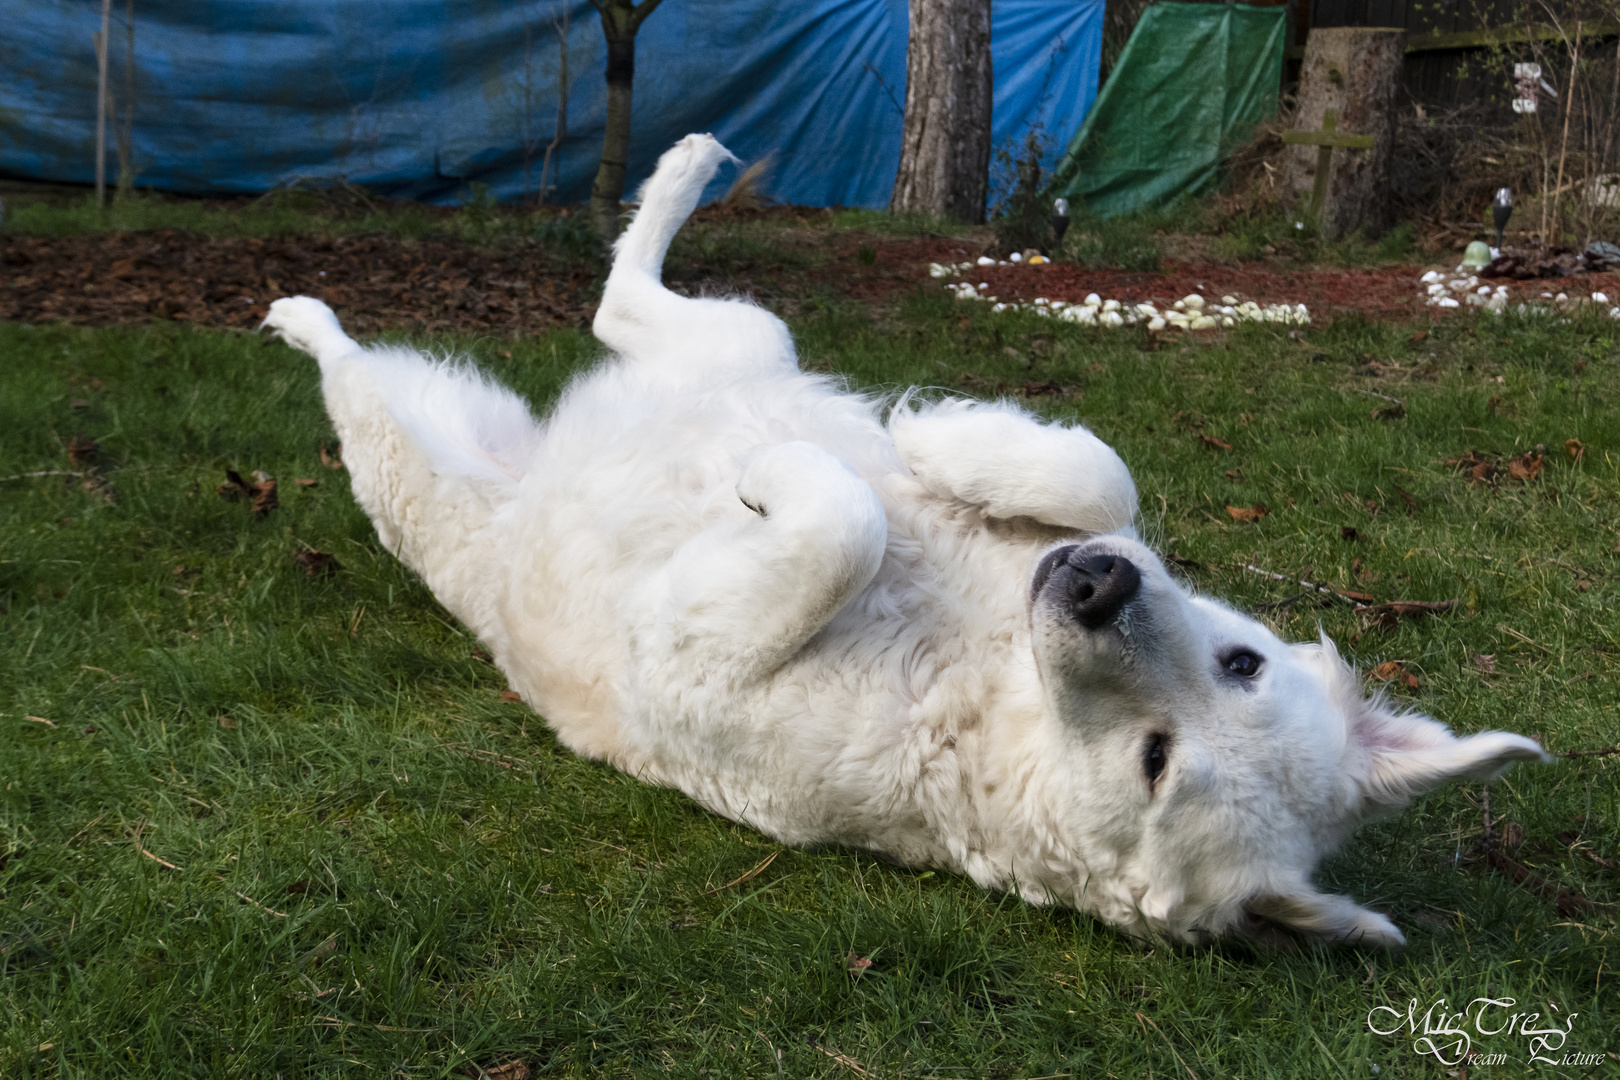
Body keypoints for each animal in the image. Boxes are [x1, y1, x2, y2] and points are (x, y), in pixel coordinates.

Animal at [262, 132, 1542, 945]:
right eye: (1244, 662)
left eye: (1157, 763)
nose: (1095, 589)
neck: (984, 673)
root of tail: (517, 468)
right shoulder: (1079, 521)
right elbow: (1095, 472)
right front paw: (943, 444)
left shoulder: (685, 652)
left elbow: (840, 516)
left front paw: (783, 474)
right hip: (746, 340)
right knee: (630, 302)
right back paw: (689, 173)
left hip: (421, 460)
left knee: (443, 350)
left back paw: (301, 313)